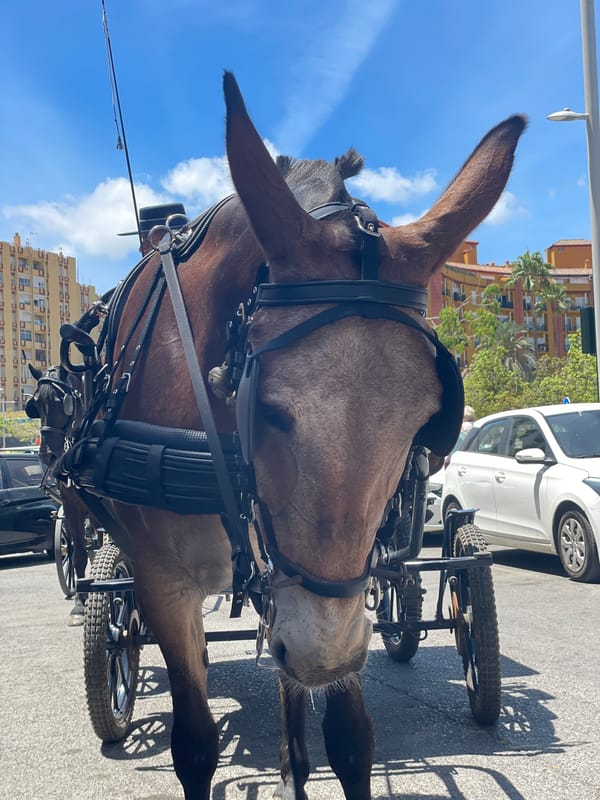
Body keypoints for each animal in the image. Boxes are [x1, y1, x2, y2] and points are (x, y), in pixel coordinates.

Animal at [58, 73, 525, 798]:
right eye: (269, 409)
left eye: (427, 418)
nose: (323, 652)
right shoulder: (166, 581)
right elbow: (194, 745)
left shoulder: (329, 587)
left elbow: (350, 741)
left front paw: (313, 749)